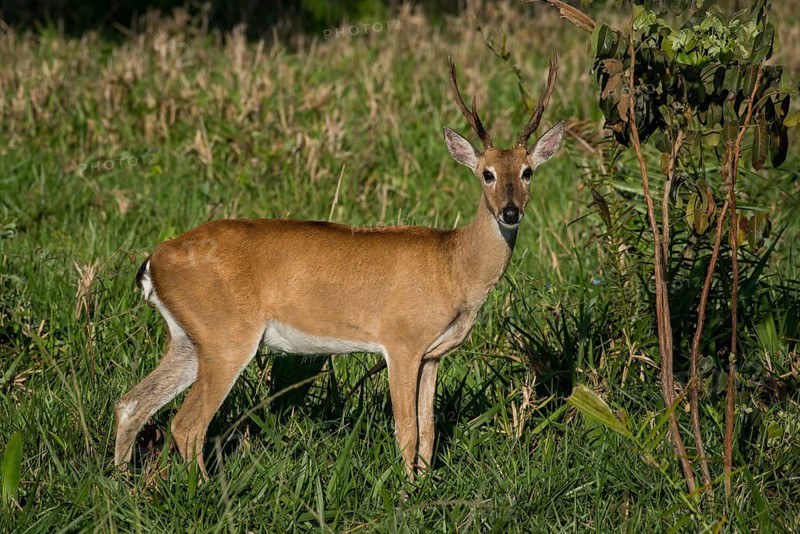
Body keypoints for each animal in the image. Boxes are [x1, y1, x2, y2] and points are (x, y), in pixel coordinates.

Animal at [114, 55, 563, 479]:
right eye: (487, 174)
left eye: (527, 172)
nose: (510, 211)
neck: (454, 265)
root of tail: (155, 260)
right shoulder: (401, 342)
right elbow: (407, 430)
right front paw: (408, 493)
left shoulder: (433, 354)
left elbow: (430, 431)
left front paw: (424, 484)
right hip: (228, 337)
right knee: (187, 424)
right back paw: (207, 489)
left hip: (190, 339)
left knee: (131, 403)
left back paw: (122, 482)